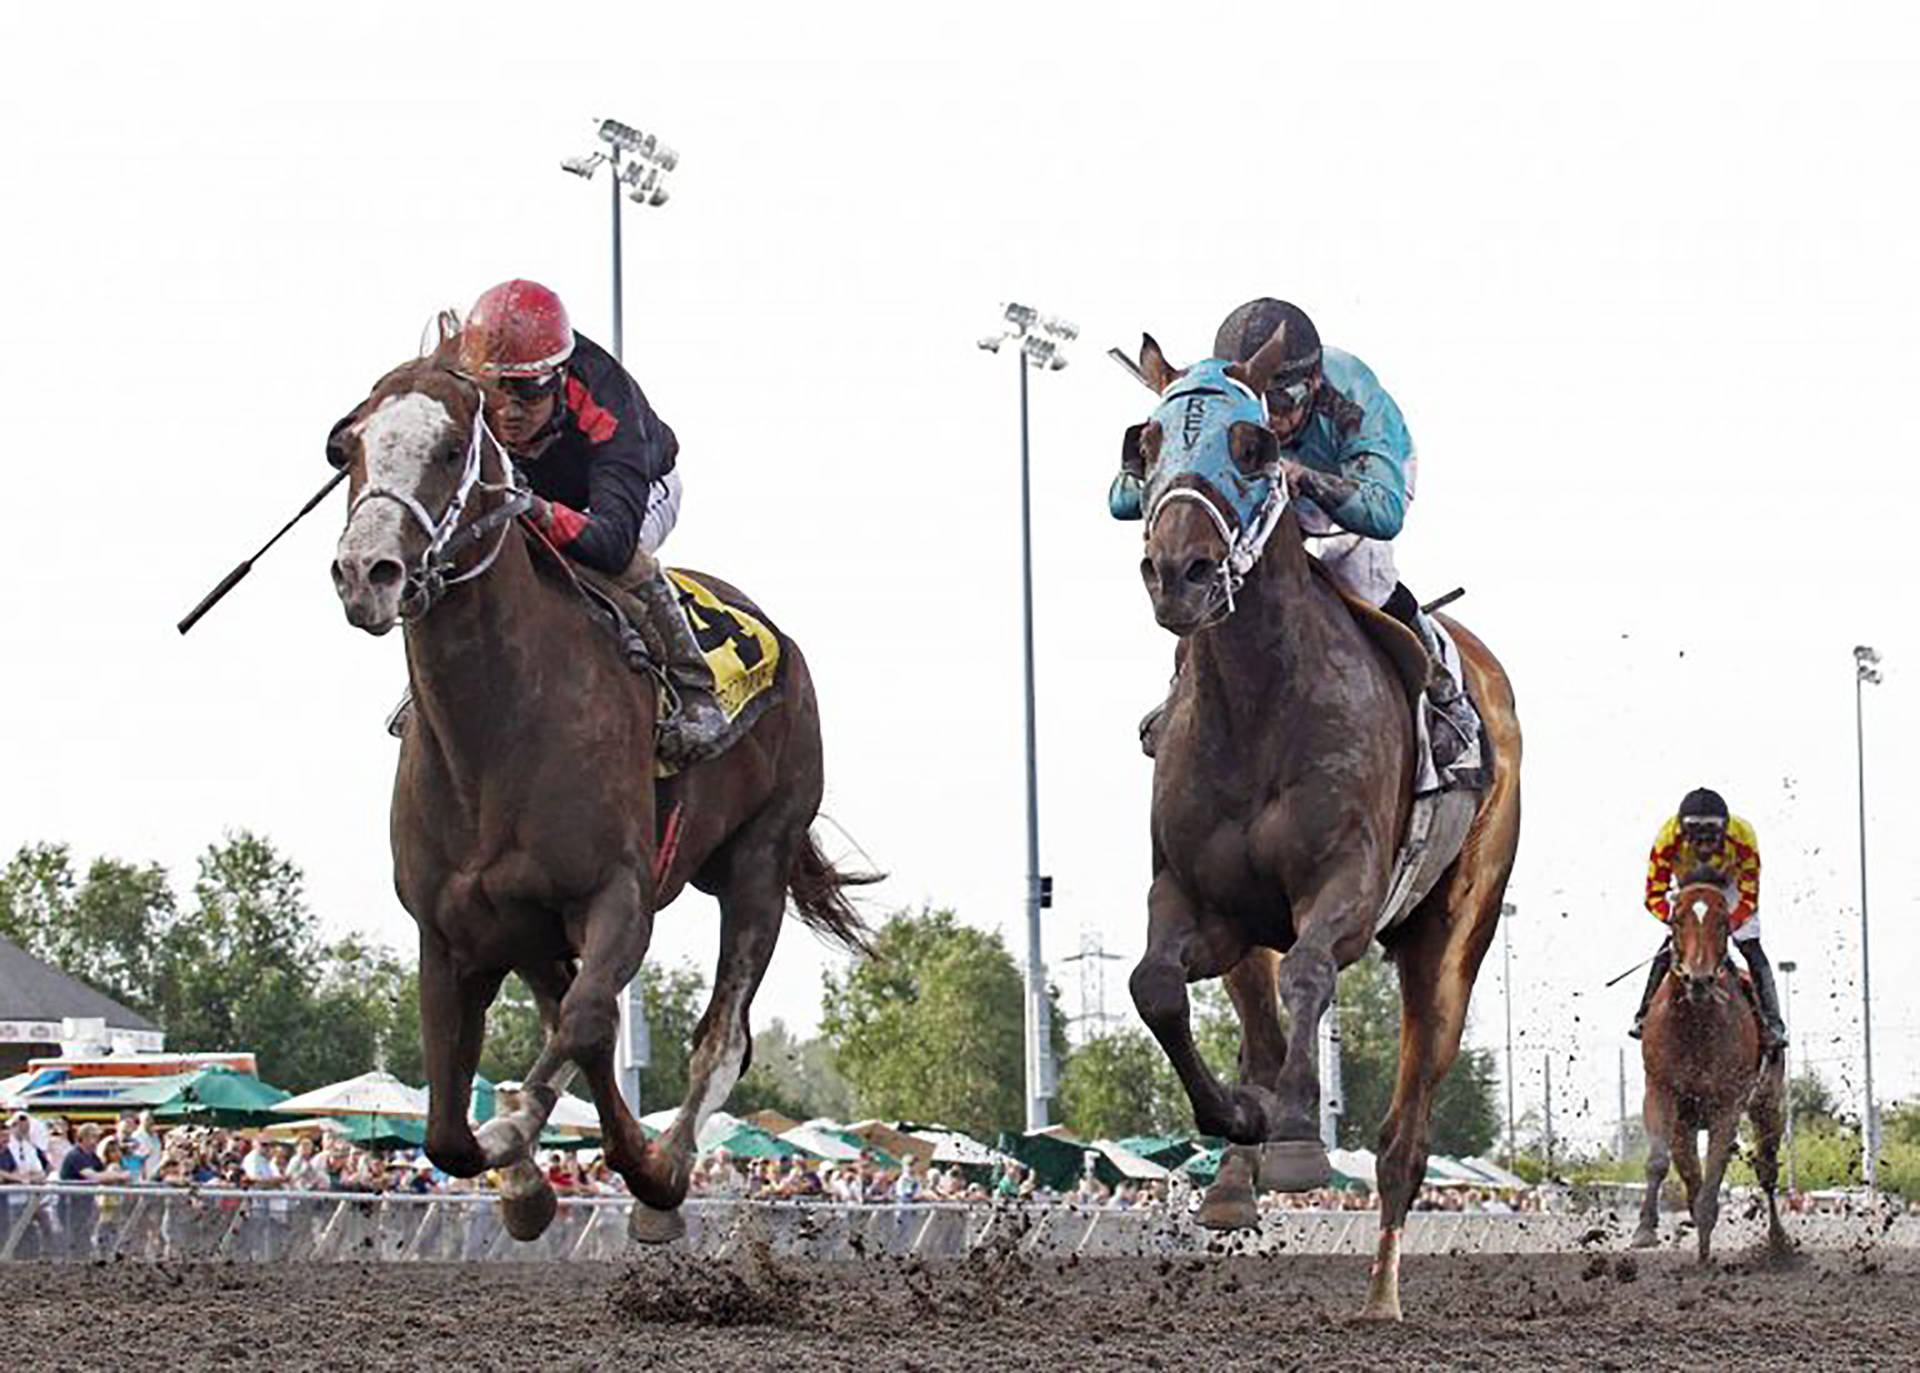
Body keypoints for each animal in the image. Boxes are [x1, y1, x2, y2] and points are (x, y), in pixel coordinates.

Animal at [328, 341, 871, 1244]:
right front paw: (521, 1174)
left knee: (720, 1035)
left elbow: (590, 1025)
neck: (497, 730)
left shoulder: (619, 893)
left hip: (759, 857)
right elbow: (447, 1126)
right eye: (352, 447)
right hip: (534, 925)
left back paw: (667, 1165)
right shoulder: (450, 930)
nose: (366, 571)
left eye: (451, 449)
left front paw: (539, 1131)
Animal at [1121, 332, 1520, 1321]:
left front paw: (1301, 1133)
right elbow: (1156, 986)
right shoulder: (1197, 899)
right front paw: (1239, 1121)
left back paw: (1381, 1290)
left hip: (1452, 940)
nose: (1177, 572)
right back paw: (1235, 1177)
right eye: (1145, 443)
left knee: (1405, 1136)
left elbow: (1311, 972)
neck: (1260, 702)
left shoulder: (1346, 886)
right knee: (1258, 1025)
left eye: (1255, 446)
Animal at [1628, 875, 1789, 1259]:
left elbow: (1715, 1168)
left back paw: (1779, 1242)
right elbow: (1663, 1162)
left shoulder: (1727, 1104)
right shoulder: (1661, 1092)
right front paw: (1645, 1229)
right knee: (1692, 1172)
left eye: (1722, 923)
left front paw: (1703, 1231)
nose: (1698, 979)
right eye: (1676, 920)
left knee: (1767, 1169)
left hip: (1767, 1106)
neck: (1695, 1026)